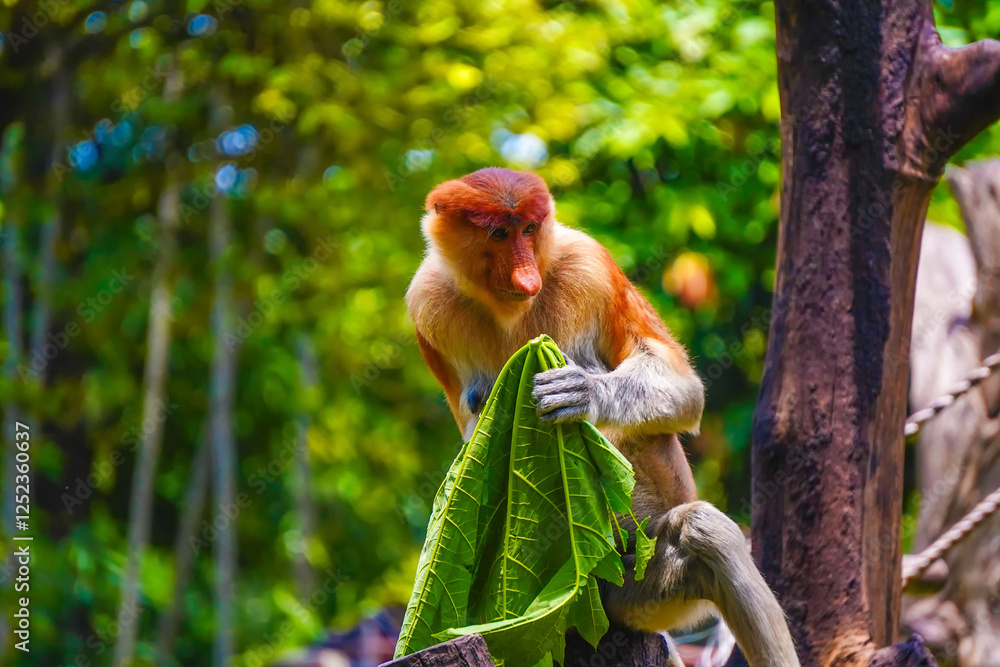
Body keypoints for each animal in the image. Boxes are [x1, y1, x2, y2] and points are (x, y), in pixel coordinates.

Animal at [406, 167, 800, 666]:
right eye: (498, 234)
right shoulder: (426, 302)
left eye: (529, 229)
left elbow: (685, 388)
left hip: (642, 584)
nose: (527, 276)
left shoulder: (589, 264)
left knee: (702, 531)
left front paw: (582, 390)